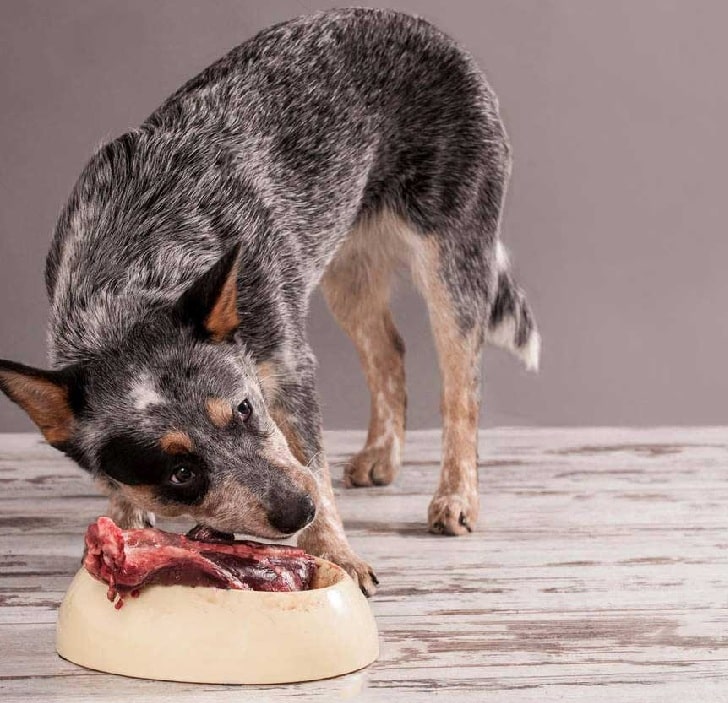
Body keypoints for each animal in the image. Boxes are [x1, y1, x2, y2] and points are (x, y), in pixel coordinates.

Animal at [0, 9, 536, 592]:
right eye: (181, 473)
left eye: (244, 408)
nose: (295, 511)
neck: (134, 269)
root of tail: (419, 24)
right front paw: (121, 526)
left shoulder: (287, 366)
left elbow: (313, 463)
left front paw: (338, 554)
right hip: (348, 269)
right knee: (388, 350)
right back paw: (380, 457)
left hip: (453, 253)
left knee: (462, 385)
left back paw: (456, 496)